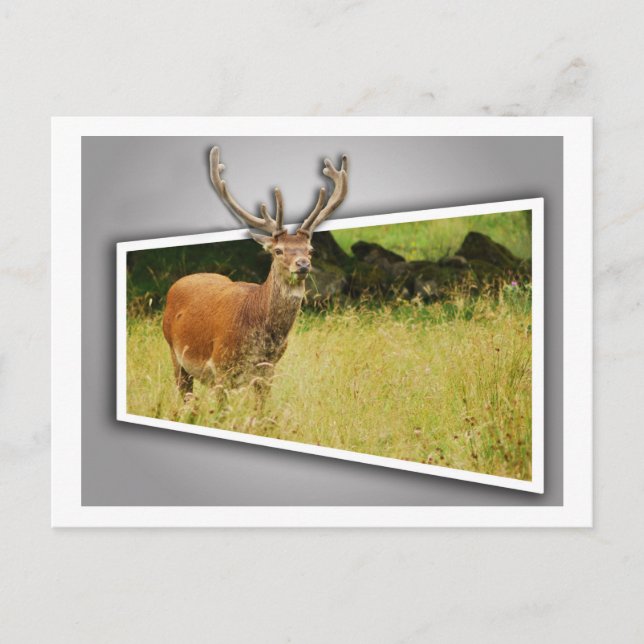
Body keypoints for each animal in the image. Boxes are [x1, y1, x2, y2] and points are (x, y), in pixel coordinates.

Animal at [162, 146, 349, 405]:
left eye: (310, 250)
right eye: (278, 250)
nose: (302, 264)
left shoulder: (267, 370)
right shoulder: (220, 366)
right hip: (175, 353)